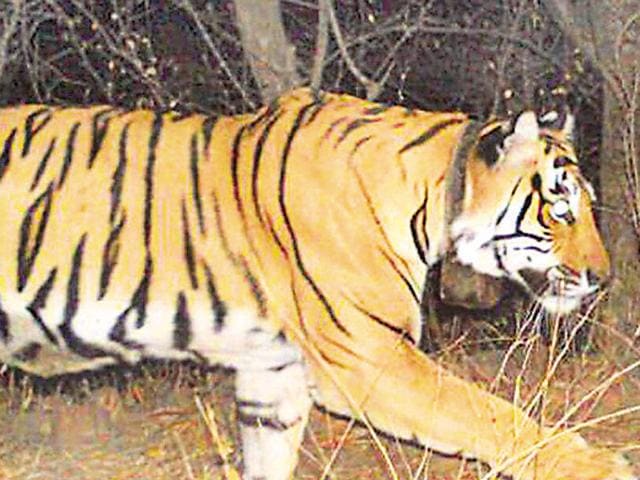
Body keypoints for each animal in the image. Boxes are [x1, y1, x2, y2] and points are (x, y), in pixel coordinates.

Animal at [0, 88, 635, 480]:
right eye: (561, 209)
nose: (602, 279)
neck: (430, 199)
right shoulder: (368, 357)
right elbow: (488, 414)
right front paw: (596, 467)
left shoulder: (274, 373)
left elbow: (268, 458)